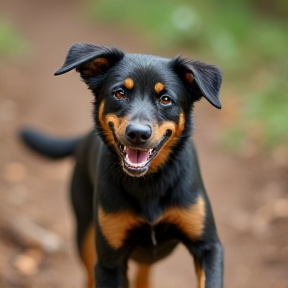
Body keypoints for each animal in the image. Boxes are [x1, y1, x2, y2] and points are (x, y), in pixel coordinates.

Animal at [20, 43, 223, 288]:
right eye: (119, 93)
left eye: (165, 99)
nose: (138, 133)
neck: (149, 183)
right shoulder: (109, 262)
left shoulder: (208, 247)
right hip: (85, 235)